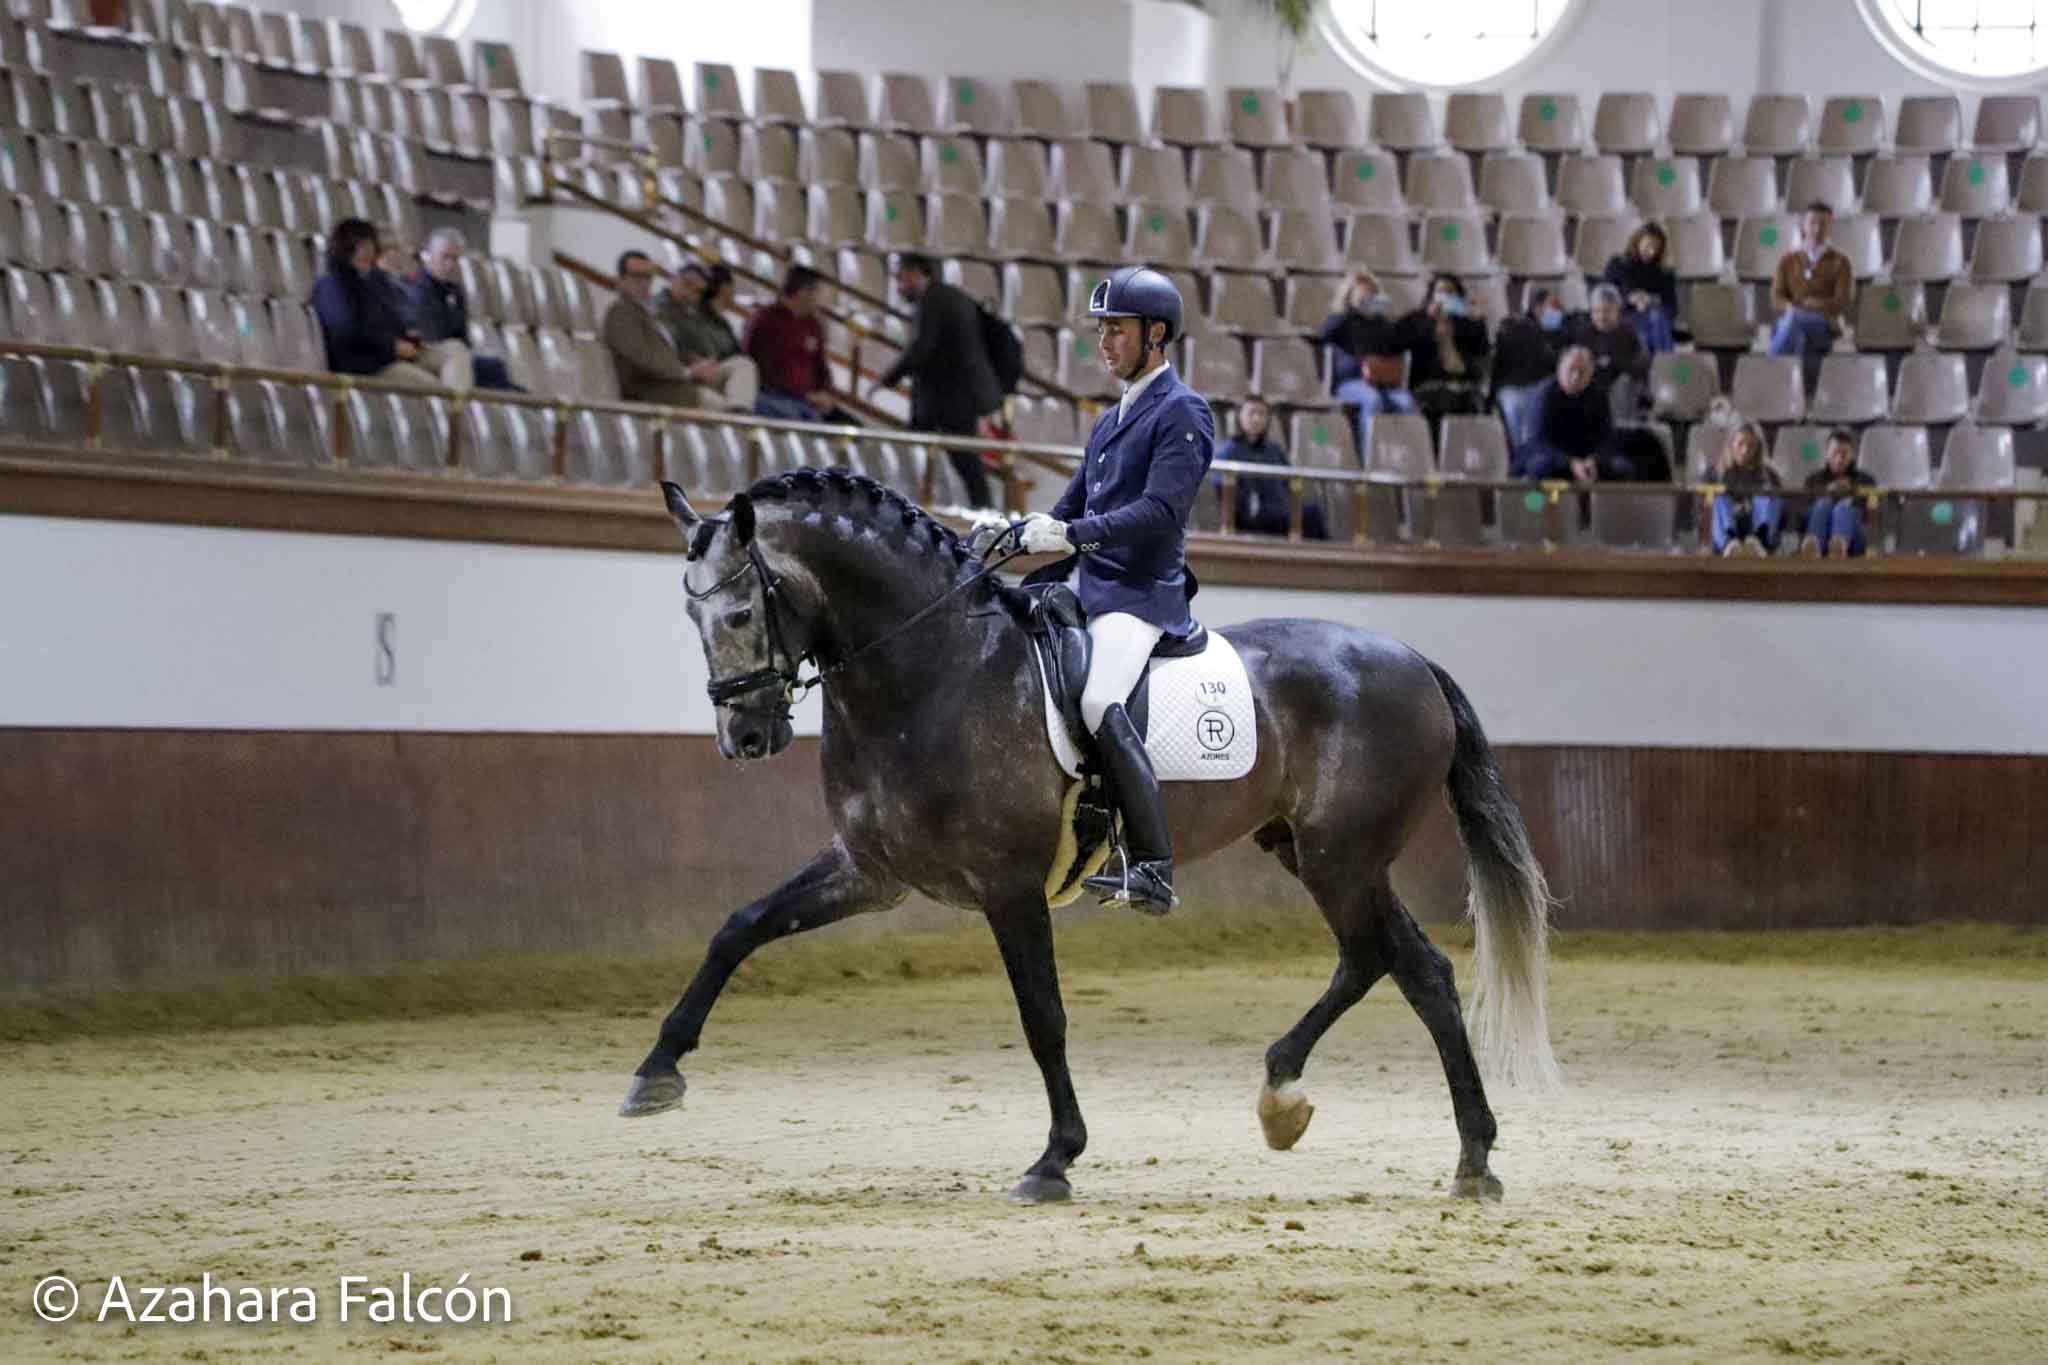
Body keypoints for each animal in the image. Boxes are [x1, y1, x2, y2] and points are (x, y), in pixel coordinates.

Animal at [618, 472, 1548, 1203]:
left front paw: (1055, 1159)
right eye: (692, 618)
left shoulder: (1007, 885)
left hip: (1341, 857)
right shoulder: (869, 871)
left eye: (742, 610)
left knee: (1388, 959)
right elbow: (740, 926)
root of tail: (1413, 659)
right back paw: (1422, 1140)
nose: (744, 736)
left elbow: (1044, 1018)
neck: (933, 668)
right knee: (1405, 966)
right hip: (1311, 850)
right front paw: (656, 1071)